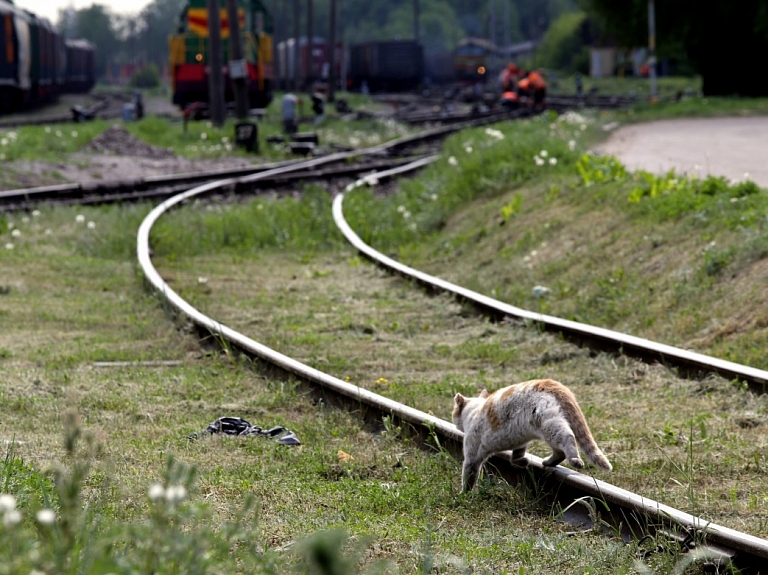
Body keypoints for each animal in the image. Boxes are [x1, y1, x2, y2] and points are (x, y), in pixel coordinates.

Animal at [450, 378, 612, 496]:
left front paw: (463, 495)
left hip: (549, 425)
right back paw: (548, 462)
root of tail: (549, 383)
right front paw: (523, 462)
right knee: (559, 451)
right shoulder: (520, 441)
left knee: (568, 438)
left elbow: (469, 477)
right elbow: (515, 457)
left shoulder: (472, 456)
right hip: (547, 431)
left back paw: (575, 460)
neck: (474, 411)